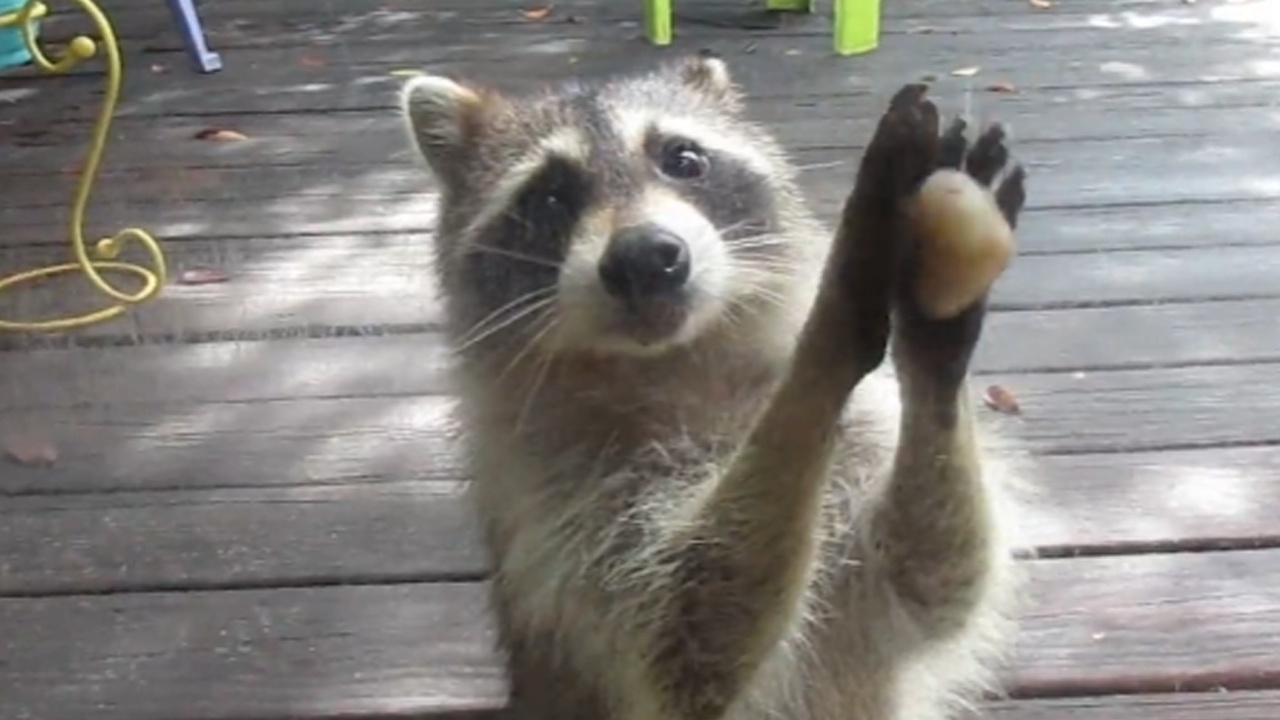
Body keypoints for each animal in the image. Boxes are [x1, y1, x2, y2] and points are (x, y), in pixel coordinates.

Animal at [400, 55, 1033, 720]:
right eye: (550, 196)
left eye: (682, 159)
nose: (644, 257)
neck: (681, 361)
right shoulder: (553, 506)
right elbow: (683, 638)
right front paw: (836, 305)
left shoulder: (865, 440)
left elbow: (933, 578)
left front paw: (933, 338)